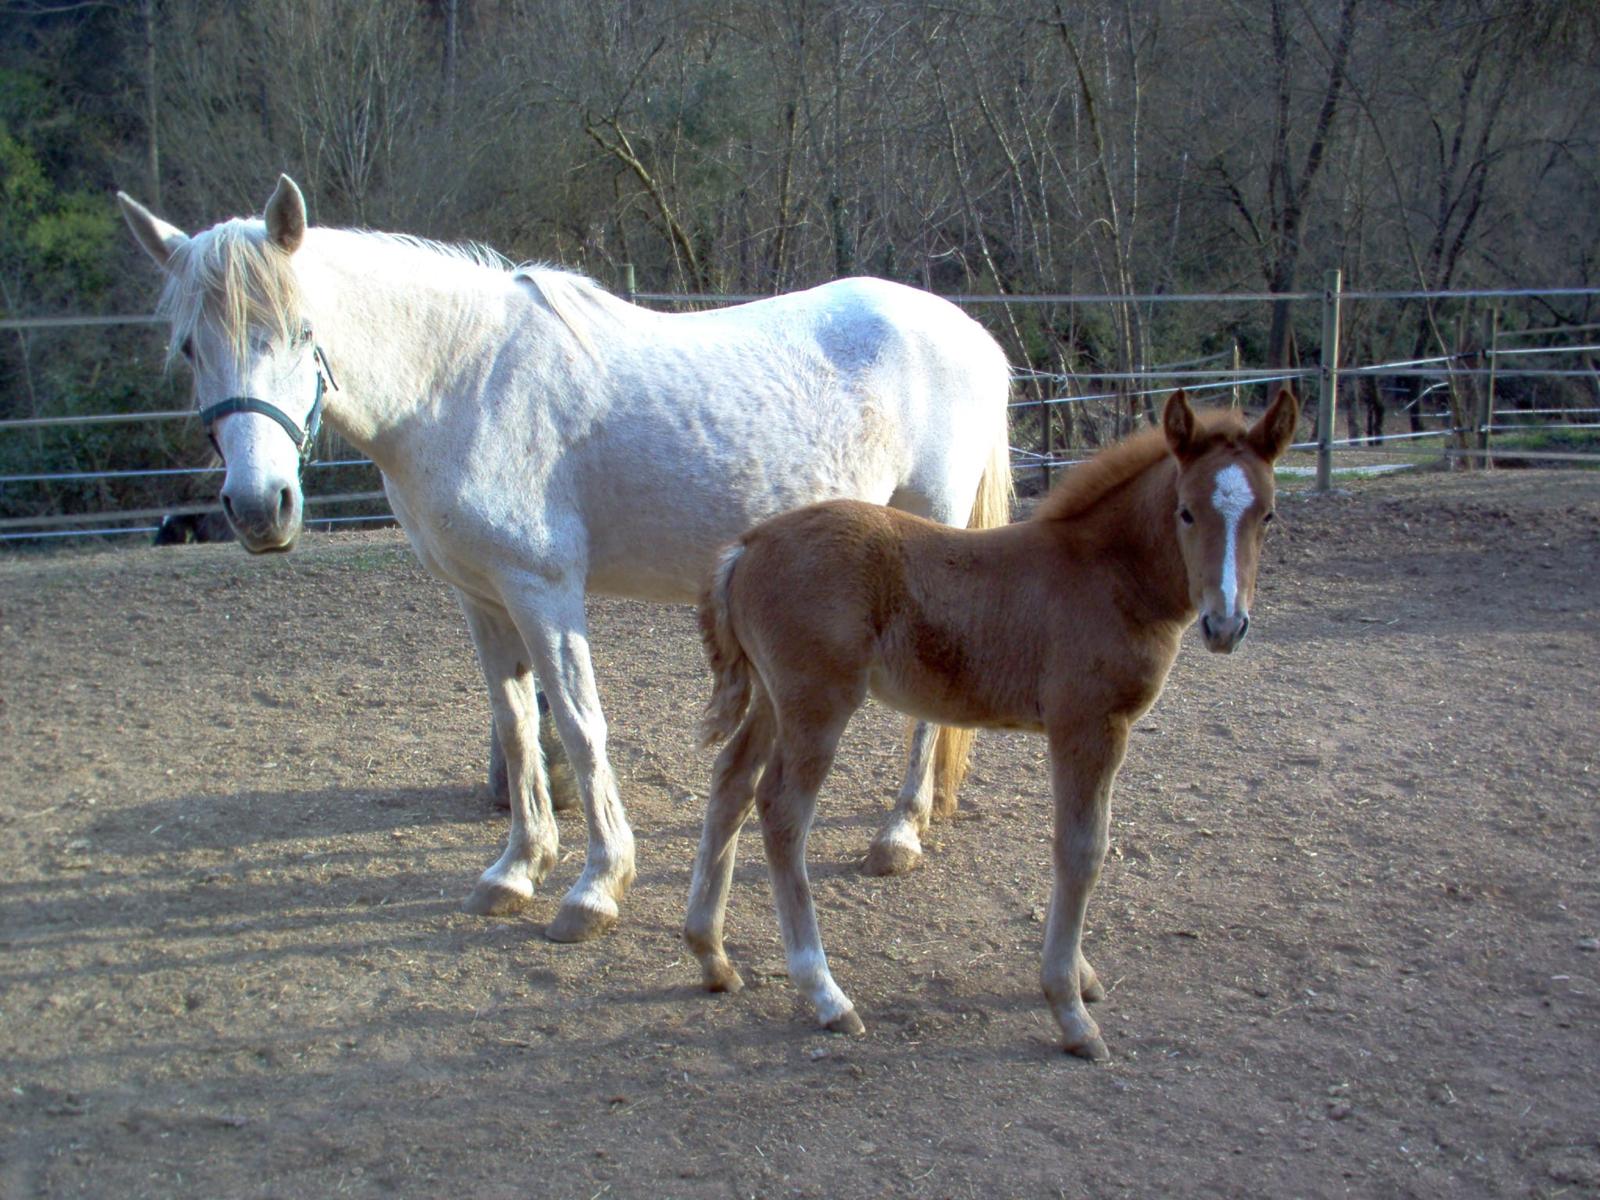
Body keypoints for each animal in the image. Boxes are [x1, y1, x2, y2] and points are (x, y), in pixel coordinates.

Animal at [116, 174, 1013, 942]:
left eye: (303, 333)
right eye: (190, 347)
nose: (259, 506)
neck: (461, 382)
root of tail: (969, 332)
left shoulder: (542, 588)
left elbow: (580, 725)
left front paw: (596, 886)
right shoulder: (481, 598)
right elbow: (518, 728)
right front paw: (516, 870)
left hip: (926, 529)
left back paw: (899, 836)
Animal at [684, 388, 1298, 1059]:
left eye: (1268, 516)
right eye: (1186, 512)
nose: (1226, 625)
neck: (1106, 574)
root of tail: (748, 543)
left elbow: (1082, 845)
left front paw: (1081, 977)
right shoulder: (1088, 725)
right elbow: (1082, 849)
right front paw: (1070, 1009)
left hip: (774, 700)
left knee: (732, 783)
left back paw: (711, 956)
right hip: (816, 703)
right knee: (782, 811)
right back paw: (826, 995)